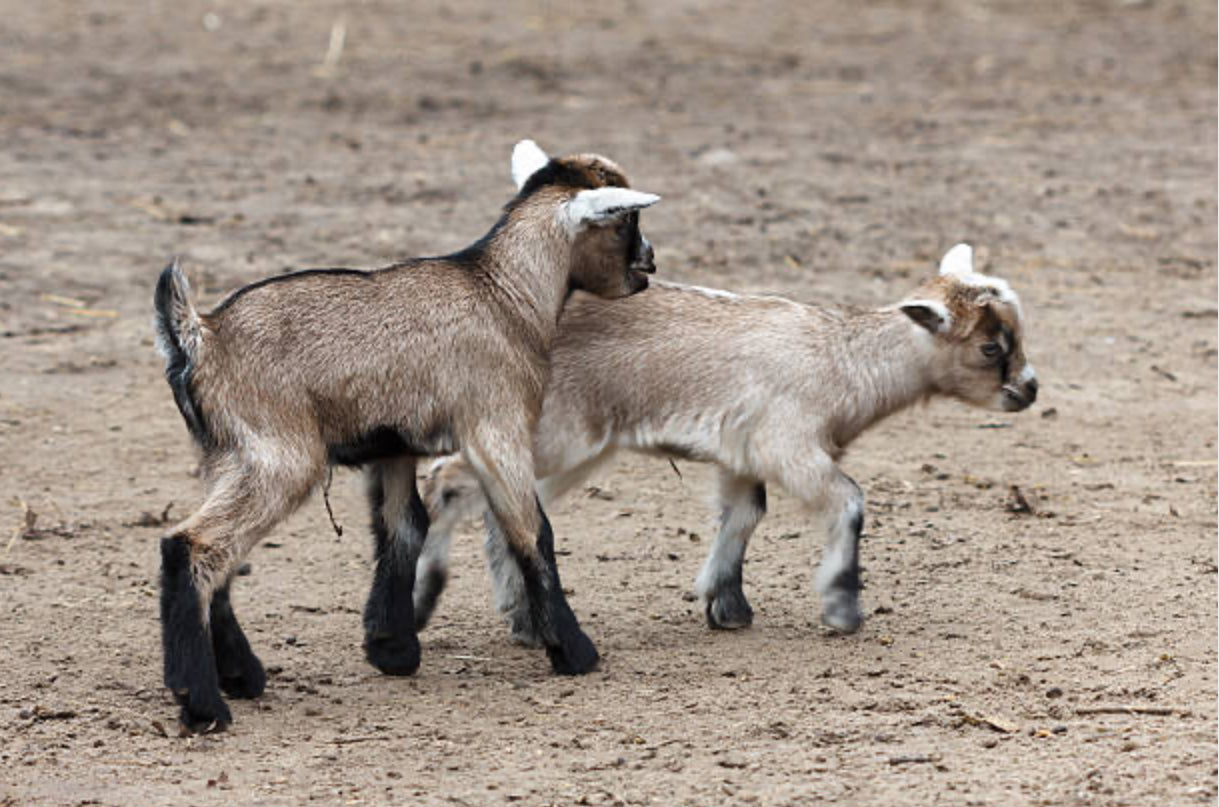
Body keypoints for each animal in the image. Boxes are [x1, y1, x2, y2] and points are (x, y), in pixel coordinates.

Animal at [152, 139, 661, 732]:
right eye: (625, 221)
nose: (649, 262)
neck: (505, 294)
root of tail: (199, 335)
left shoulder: (392, 448)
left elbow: (403, 527)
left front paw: (391, 647)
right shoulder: (496, 426)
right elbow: (530, 530)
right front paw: (574, 651)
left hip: (228, 457)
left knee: (222, 556)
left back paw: (240, 676)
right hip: (280, 456)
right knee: (193, 544)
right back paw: (202, 702)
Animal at [414, 244, 1038, 645]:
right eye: (989, 347)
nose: (1028, 389)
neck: (841, 359)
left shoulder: (743, 453)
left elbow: (744, 514)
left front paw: (727, 604)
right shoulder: (789, 445)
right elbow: (849, 502)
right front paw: (841, 609)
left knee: (506, 506)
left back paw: (523, 622)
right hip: (553, 434)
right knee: (450, 481)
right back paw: (422, 602)